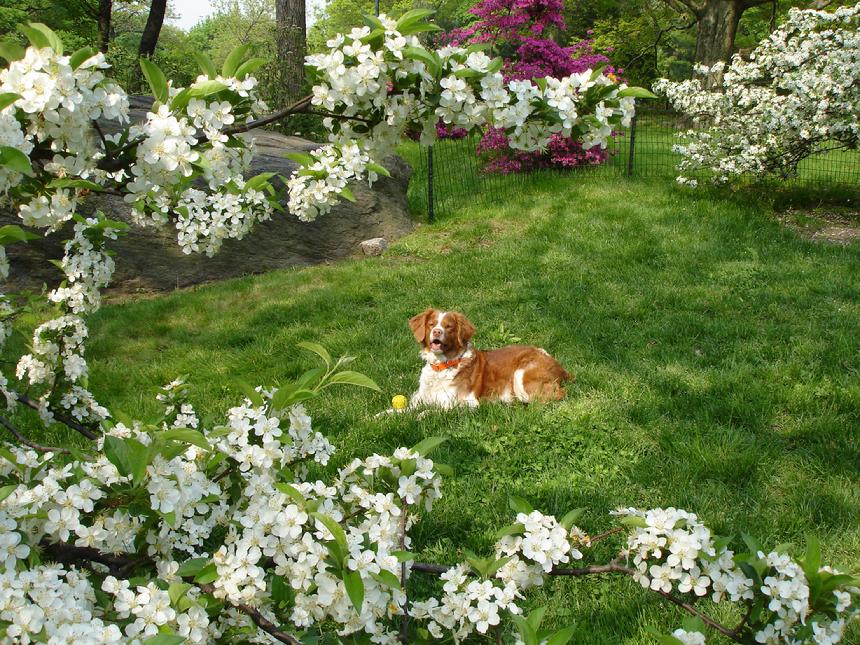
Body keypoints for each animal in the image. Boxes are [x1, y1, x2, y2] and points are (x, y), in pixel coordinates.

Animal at [408, 308, 572, 408]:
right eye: (431, 324)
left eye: (449, 327)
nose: (437, 332)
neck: (442, 365)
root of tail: (561, 368)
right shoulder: (421, 397)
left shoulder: (466, 402)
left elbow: (433, 411)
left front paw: (421, 415)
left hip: (521, 375)